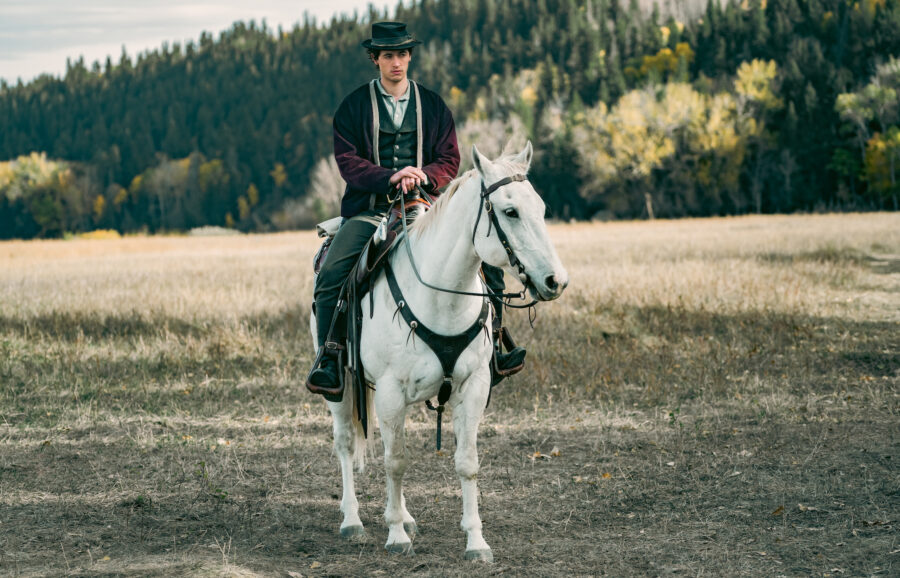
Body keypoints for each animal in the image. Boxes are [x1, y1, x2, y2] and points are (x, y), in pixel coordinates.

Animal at [310, 142, 568, 560]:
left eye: (541, 209)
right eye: (510, 212)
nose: (556, 281)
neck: (441, 295)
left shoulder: (473, 387)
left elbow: (467, 463)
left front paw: (476, 542)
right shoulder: (391, 392)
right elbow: (395, 462)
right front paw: (396, 536)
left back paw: (404, 515)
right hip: (342, 387)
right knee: (346, 442)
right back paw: (352, 520)